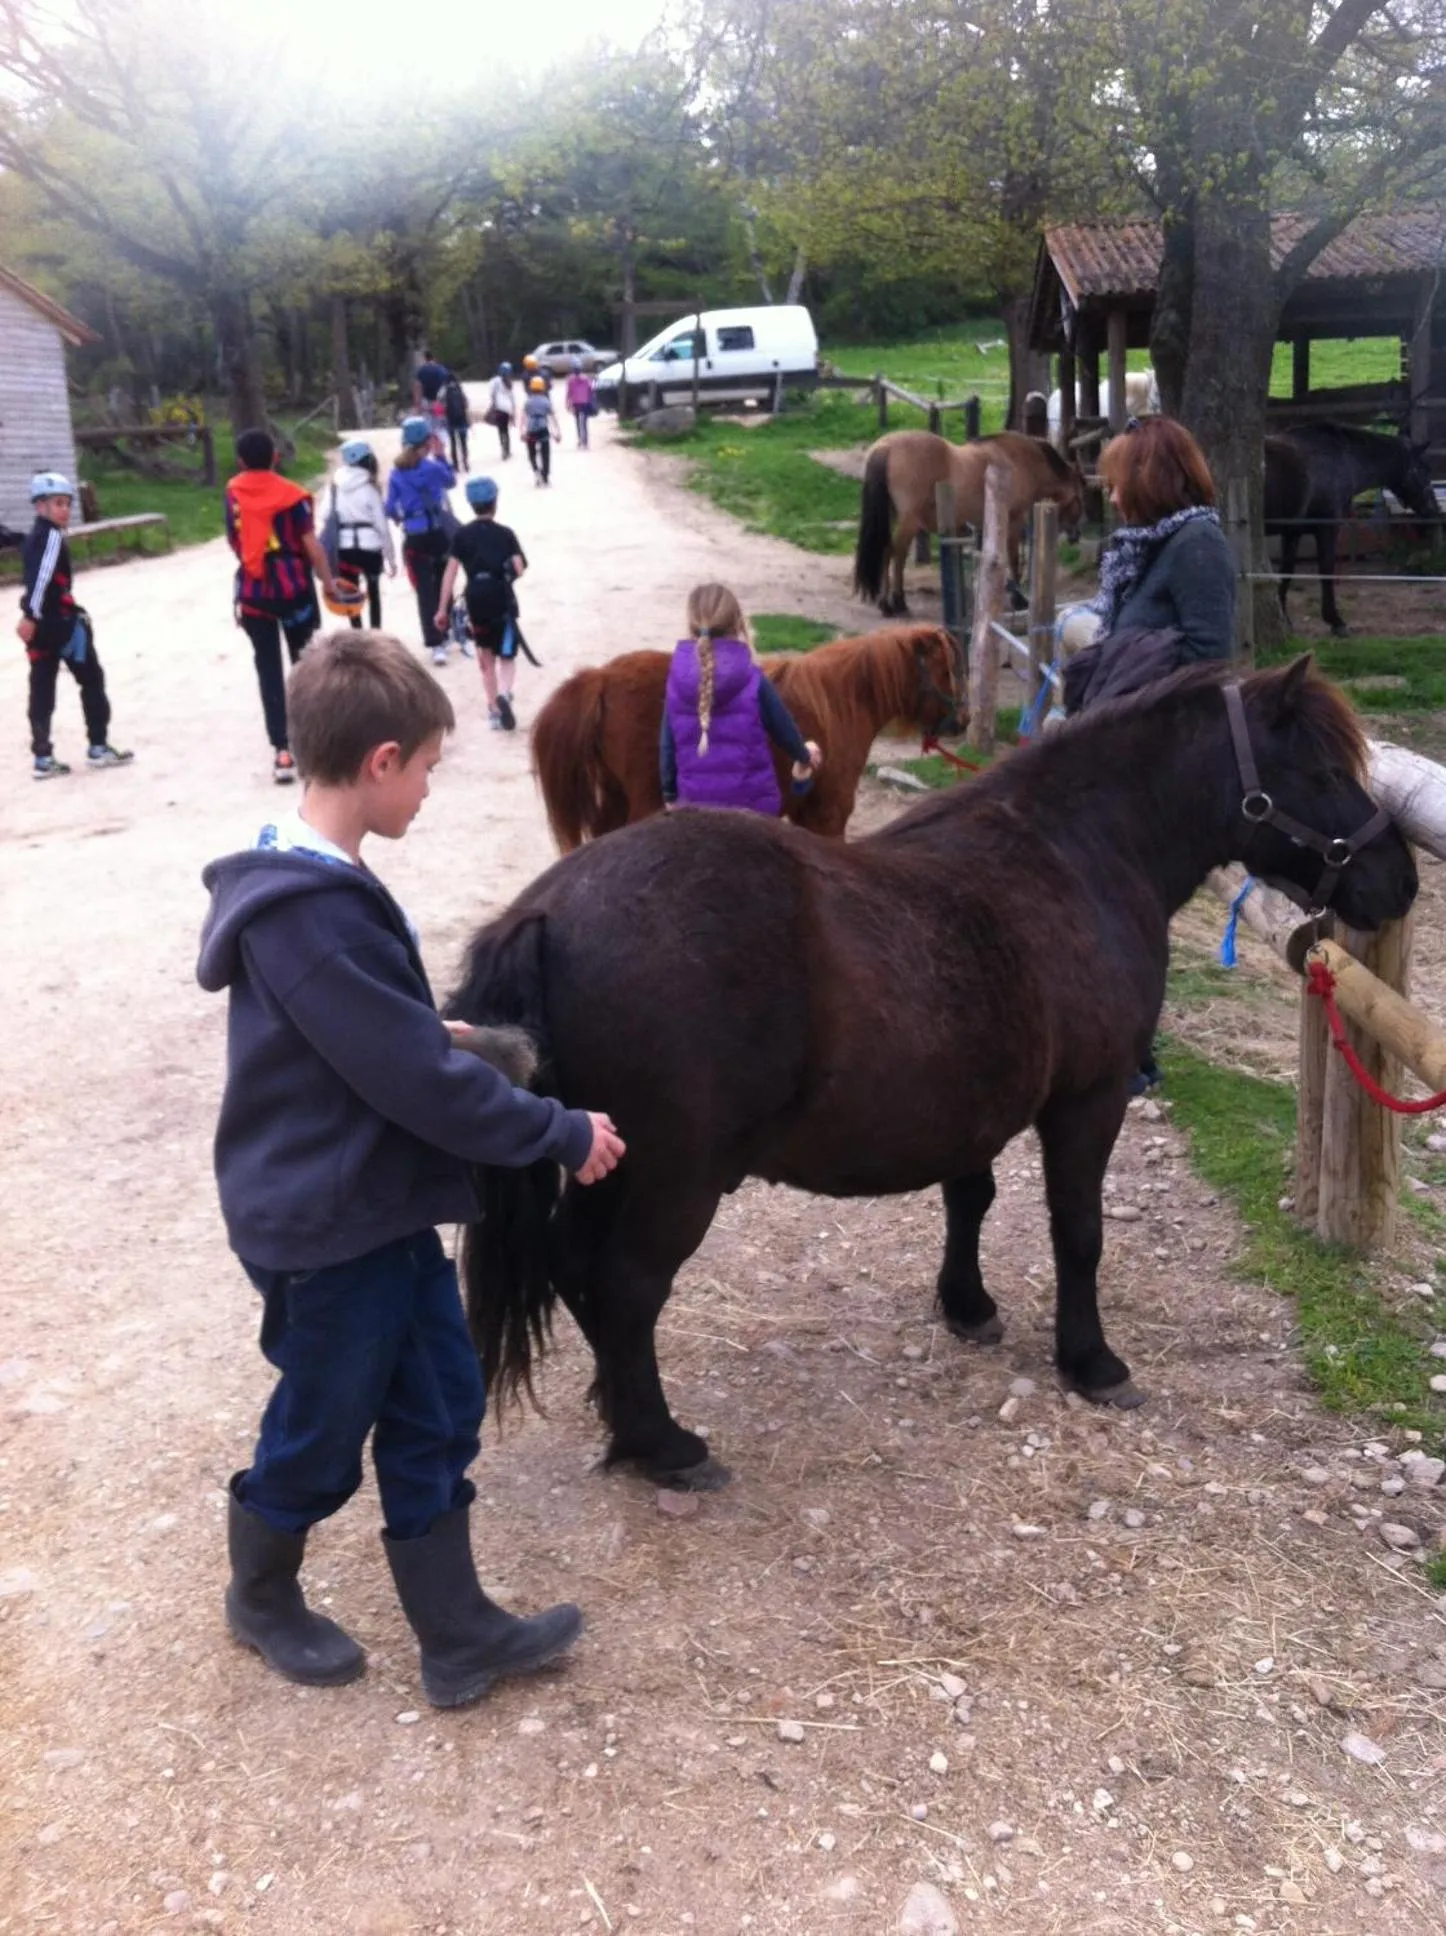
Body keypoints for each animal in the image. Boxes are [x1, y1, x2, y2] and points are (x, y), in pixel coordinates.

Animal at [449, 660, 1415, 1489]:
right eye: (1323, 770)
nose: (1399, 880)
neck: (1076, 856)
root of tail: (548, 913)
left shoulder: (973, 1101)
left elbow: (970, 1200)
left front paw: (968, 1306)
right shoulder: (1088, 1100)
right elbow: (1079, 1233)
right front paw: (1090, 1360)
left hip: (607, 1163)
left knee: (577, 1271)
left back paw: (621, 1420)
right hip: (670, 1178)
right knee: (625, 1287)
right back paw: (664, 1444)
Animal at [852, 430, 1085, 618]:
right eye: (1079, 497)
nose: (1076, 535)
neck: (1017, 460)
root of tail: (886, 447)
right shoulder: (1013, 521)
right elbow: (1013, 560)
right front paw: (1019, 600)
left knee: (886, 551)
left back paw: (887, 604)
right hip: (909, 522)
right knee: (896, 555)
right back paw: (896, 603)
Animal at [1264, 422, 1437, 636]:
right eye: (1423, 470)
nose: (1433, 510)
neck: (1339, 460)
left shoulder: (1292, 532)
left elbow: (1286, 572)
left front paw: (1284, 618)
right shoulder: (1326, 529)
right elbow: (1326, 570)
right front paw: (1335, 621)